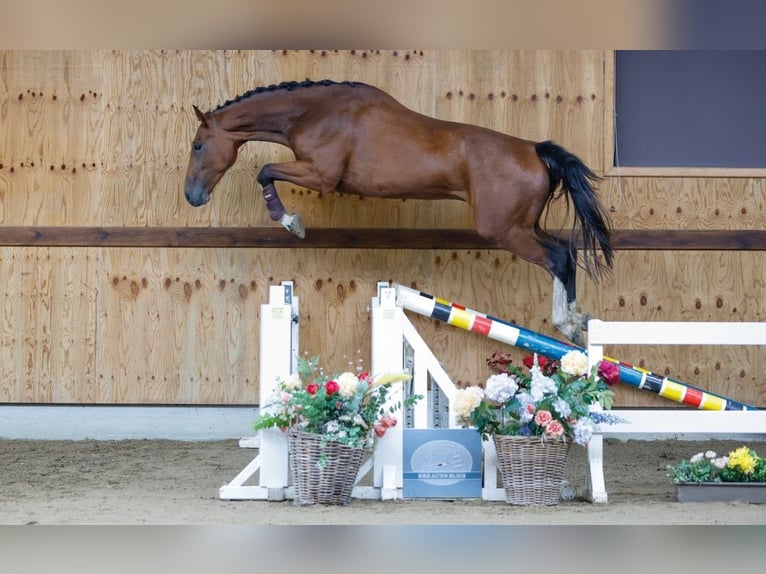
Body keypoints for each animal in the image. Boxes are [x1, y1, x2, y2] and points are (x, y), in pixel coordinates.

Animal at [186, 79, 616, 344]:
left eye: (197, 145)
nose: (193, 196)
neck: (314, 112)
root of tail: (535, 150)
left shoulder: (321, 174)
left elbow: (265, 171)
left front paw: (292, 223)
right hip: (523, 225)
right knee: (568, 253)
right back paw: (578, 319)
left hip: (505, 231)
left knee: (557, 258)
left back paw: (567, 325)